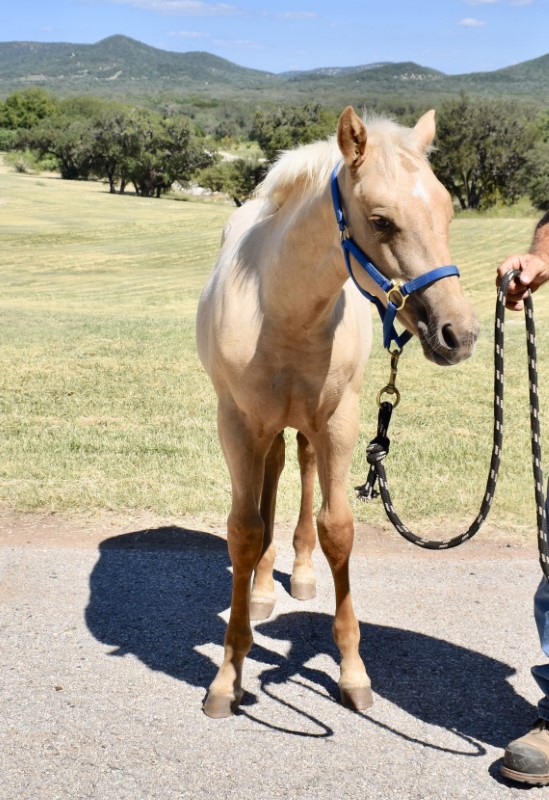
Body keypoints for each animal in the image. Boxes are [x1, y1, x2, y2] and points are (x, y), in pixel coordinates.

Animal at [195, 108, 478, 720]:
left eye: (447, 210)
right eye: (381, 221)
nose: (460, 334)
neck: (283, 308)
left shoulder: (340, 424)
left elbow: (337, 530)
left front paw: (352, 671)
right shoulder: (237, 425)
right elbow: (244, 531)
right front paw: (228, 676)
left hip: (307, 427)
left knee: (300, 471)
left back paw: (297, 576)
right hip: (266, 427)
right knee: (274, 477)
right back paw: (261, 589)